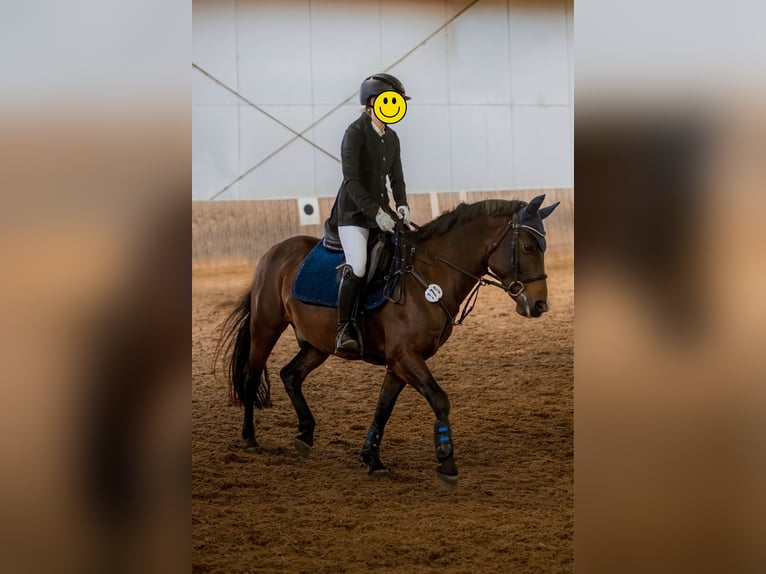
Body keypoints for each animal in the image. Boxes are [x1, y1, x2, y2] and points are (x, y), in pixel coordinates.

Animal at [217, 194, 559, 487]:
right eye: (528, 247)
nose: (539, 305)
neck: (430, 275)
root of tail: (274, 252)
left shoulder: (399, 362)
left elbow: (384, 407)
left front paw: (372, 458)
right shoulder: (405, 356)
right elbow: (439, 399)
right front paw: (446, 462)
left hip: (318, 344)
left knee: (290, 374)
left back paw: (304, 434)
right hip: (266, 327)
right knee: (251, 377)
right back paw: (250, 439)